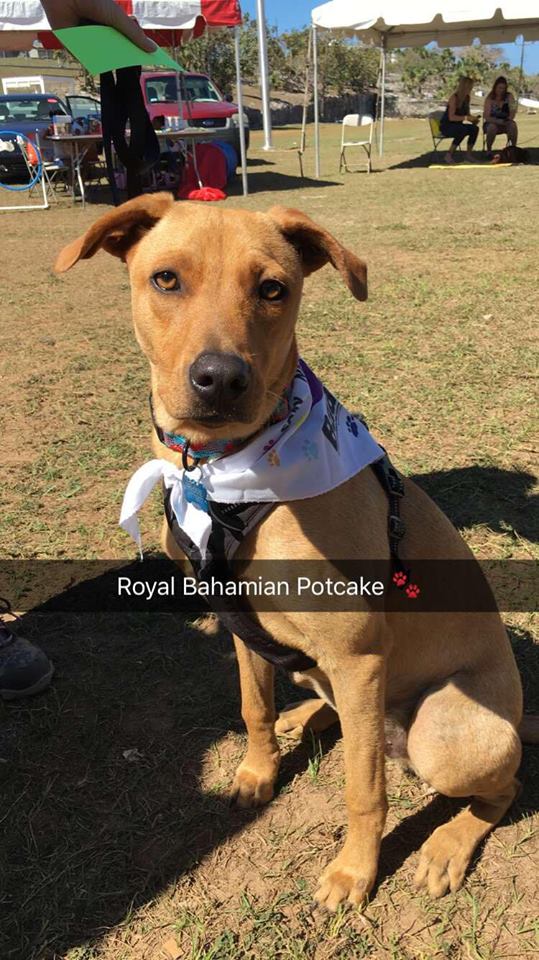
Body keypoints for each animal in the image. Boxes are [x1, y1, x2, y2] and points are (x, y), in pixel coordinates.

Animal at [54, 195, 536, 908]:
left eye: (273, 289)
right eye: (166, 279)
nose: (220, 379)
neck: (223, 474)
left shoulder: (359, 656)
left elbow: (364, 790)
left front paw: (355, 873)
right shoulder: (243, 625)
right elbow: (252, 706)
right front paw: (259, 770)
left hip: (445, 730)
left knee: (501, 786)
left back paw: (447, 846)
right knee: (335, 712)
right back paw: (302, 717)